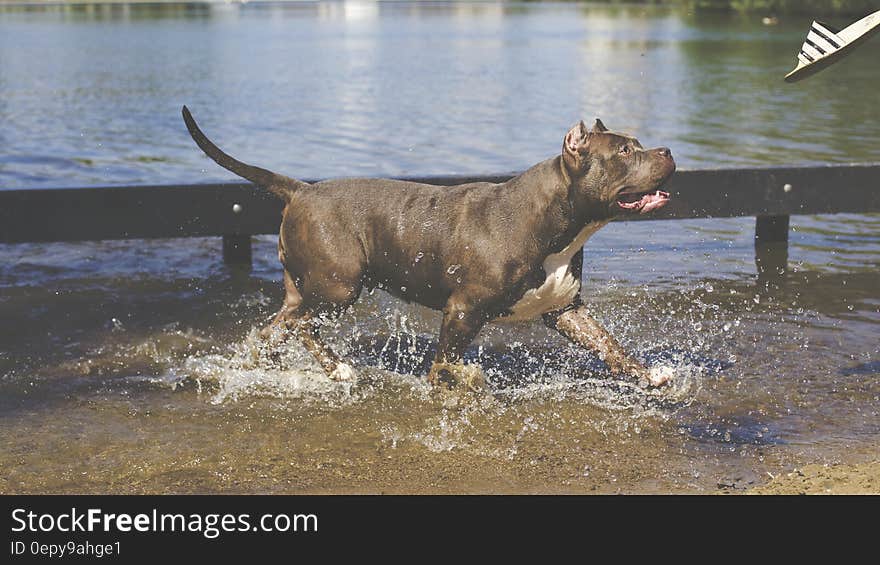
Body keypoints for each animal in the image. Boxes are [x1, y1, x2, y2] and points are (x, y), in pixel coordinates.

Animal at [184, 106, 672, 388]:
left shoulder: (565, 309)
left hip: (306, 289)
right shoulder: (462, 310)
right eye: (625, 151)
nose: (667, 150)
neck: (554, 220)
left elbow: (610, 346)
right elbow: (446, 363)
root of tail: (302, 190)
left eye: (640, 145)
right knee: (304, 325)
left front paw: (649, 374)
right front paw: (455, 384)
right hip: (340, 287)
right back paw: (338, 369)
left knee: (276, 327)